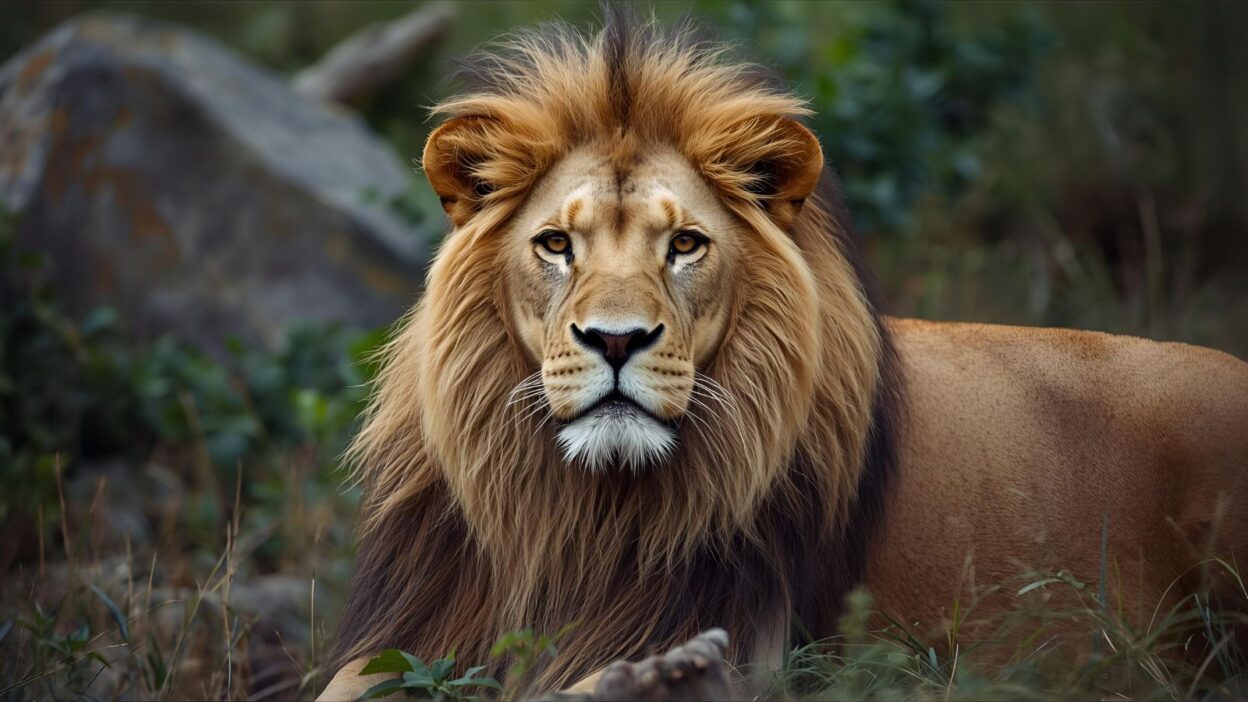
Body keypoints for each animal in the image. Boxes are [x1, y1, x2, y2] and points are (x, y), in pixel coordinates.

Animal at [320, 12, 1248, 701]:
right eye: (556, 245)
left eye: (685, 245)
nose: (616, 340)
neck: (580, 517)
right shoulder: (409, 635)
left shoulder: (729, 643)